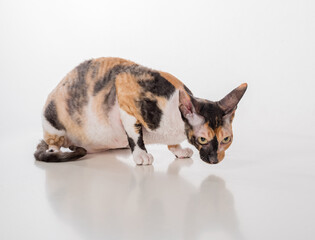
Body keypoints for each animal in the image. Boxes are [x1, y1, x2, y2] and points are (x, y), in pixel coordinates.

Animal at [34, 57, 247, 165]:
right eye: (202, 139)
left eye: (226, 139)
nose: (214, 160)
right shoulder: (124, 93)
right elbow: (135, 134)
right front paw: (141, 154)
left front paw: (177, 150)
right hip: (52, 117)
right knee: (52, 141)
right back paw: (54, 150)